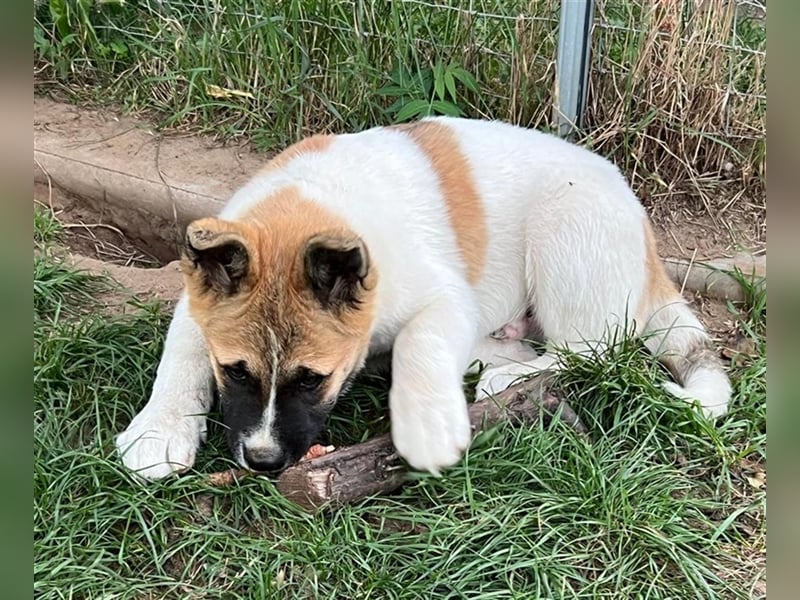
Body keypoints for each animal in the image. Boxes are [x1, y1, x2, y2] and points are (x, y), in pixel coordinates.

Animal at [115, 119, 736, 480]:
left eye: (313, 380)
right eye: (235, 371)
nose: (264, 462)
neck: (308, 210)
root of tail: (647, 241)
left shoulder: (444, 297)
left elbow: (422, 344)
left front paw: (427, 427)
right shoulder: (197, 303)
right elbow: (180, 355)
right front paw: (159, 429)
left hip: (565, 227)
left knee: (595, 348)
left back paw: (508, 379)